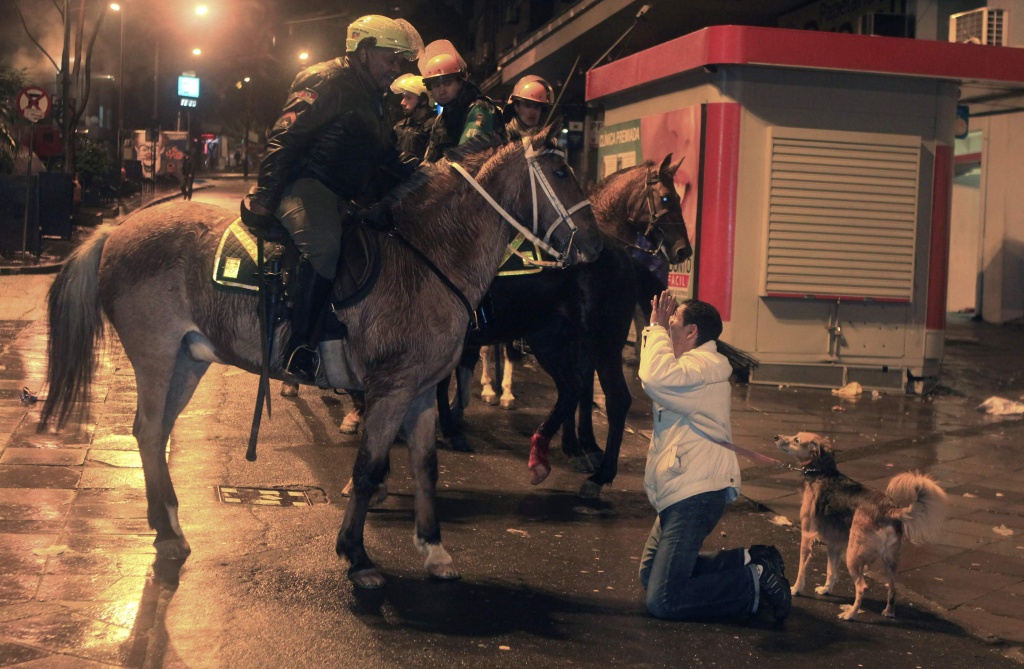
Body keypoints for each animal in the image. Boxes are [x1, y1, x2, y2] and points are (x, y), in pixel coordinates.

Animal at [39, 123, 598, 586]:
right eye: (561, 171)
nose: (592, 245)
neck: (428, 259)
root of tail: (115, 231)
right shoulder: (391, 390)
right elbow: (368, 468)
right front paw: (356, 554)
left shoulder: (420, 392)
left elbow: (425, 467)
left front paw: (434, 548)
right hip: (156, 356)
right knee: (151, 430)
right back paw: (169, 532)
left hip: (188, 360)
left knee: (155, 435)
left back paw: (170, 523)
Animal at [774, 430, 942, 618]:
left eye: (796, 440)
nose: (776, 437)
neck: (821, 472)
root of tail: (889, 509)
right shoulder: (834, 545)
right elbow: (831, 570)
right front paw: (826, 589)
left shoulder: (807, 537)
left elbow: (802, 569)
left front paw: (796, 589)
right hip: (889, 561)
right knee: (892, 587)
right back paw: (888, 612)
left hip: (852, 556)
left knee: (862, 587)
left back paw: (850, 614)